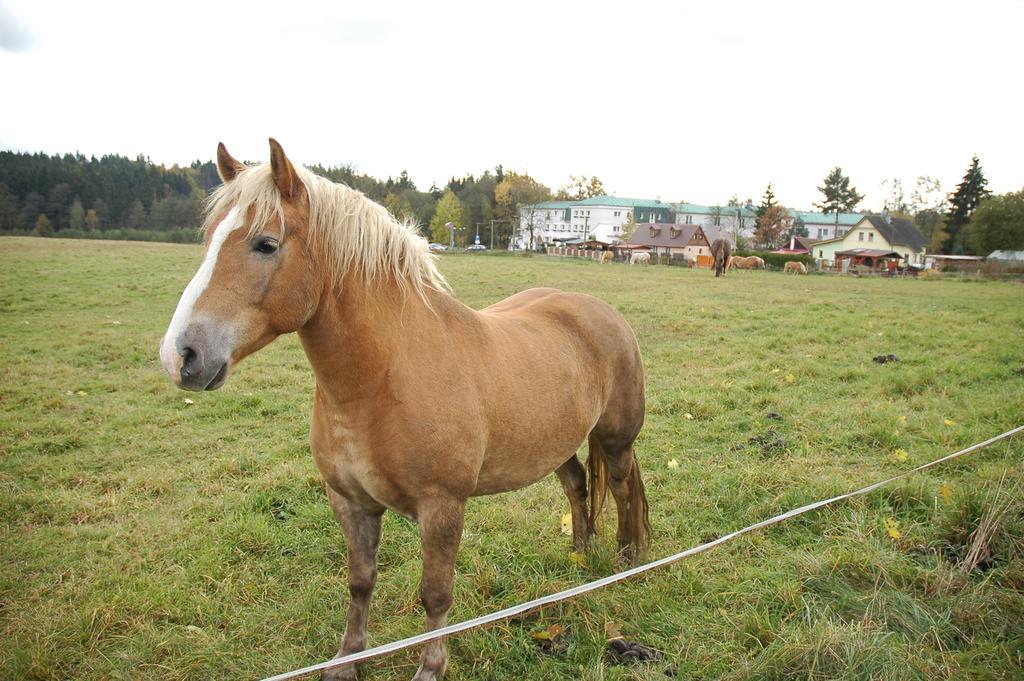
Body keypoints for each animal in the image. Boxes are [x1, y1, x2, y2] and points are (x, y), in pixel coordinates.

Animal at [160, 139, 655, 679]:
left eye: (266, 243)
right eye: (209, 237)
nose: (181, 356)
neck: (381, 380)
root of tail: (601, 311)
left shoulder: (442, 507)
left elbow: (435, 593)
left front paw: (430, 667)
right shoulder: (350, 502)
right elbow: (360, 582)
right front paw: (348, 659)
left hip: (616, 439)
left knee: (623, 489)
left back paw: (626, 559)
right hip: (556, 441)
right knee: (576, 486)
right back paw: (579, 557)